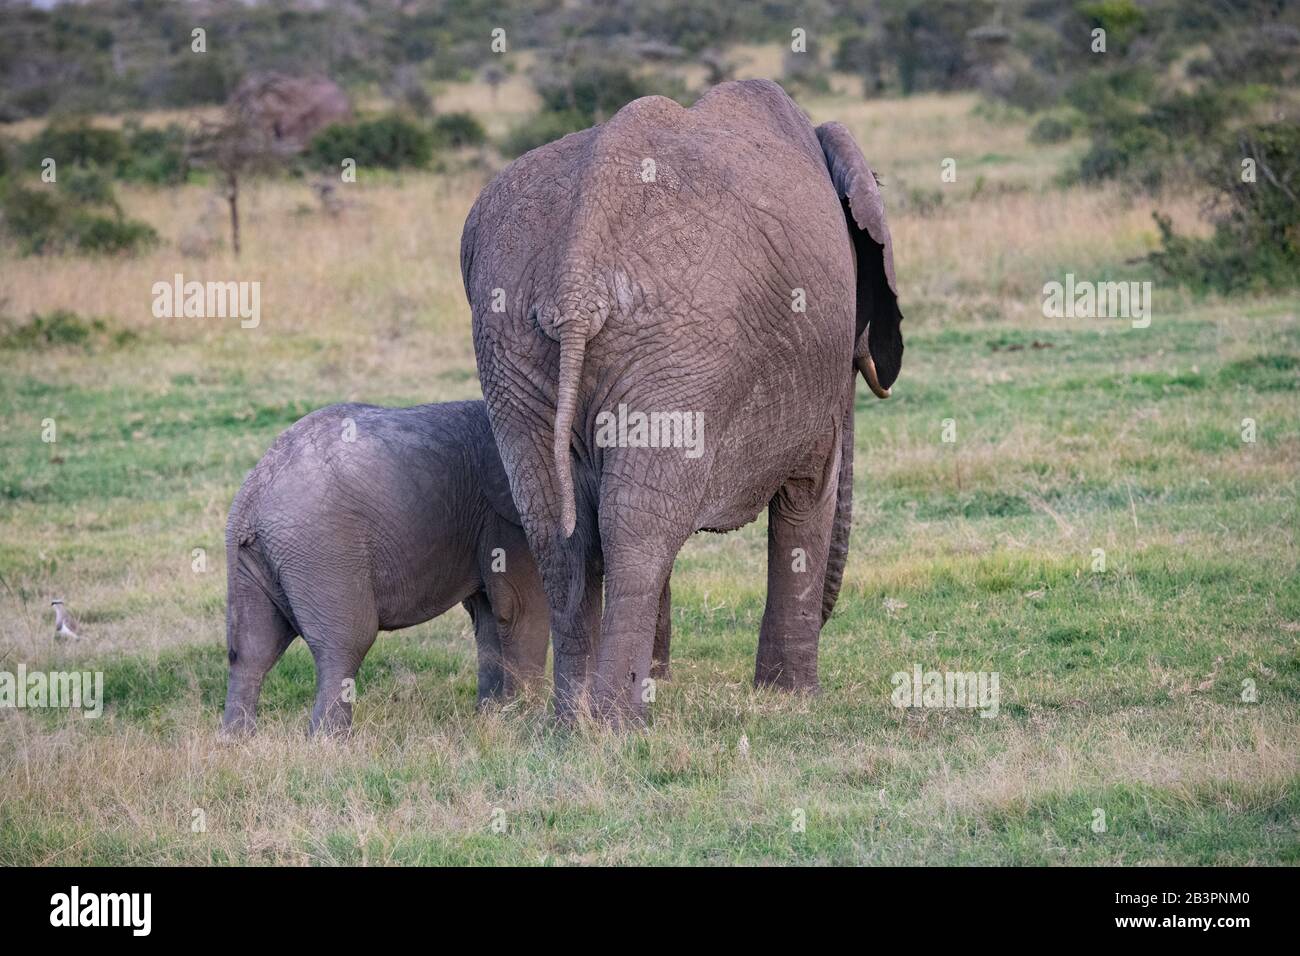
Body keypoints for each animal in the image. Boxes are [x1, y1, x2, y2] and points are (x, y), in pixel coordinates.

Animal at [221, 400, 581, 735]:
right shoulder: (505, 516)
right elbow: (519, 608)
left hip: (253, 561)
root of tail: (250, 499)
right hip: (322, 550)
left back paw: (237, 739)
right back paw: (330, 741)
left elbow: (488, 614)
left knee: (252, 648)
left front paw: (490, 716)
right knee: (345, 642)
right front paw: (522, 718)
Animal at [460, 79, 903, 723]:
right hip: (677, 340)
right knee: (637, 528)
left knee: (562, 526)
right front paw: (792, 699)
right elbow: (806, 496)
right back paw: (618, 726)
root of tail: (578, 269)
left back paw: (573, 720)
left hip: (515, 337)